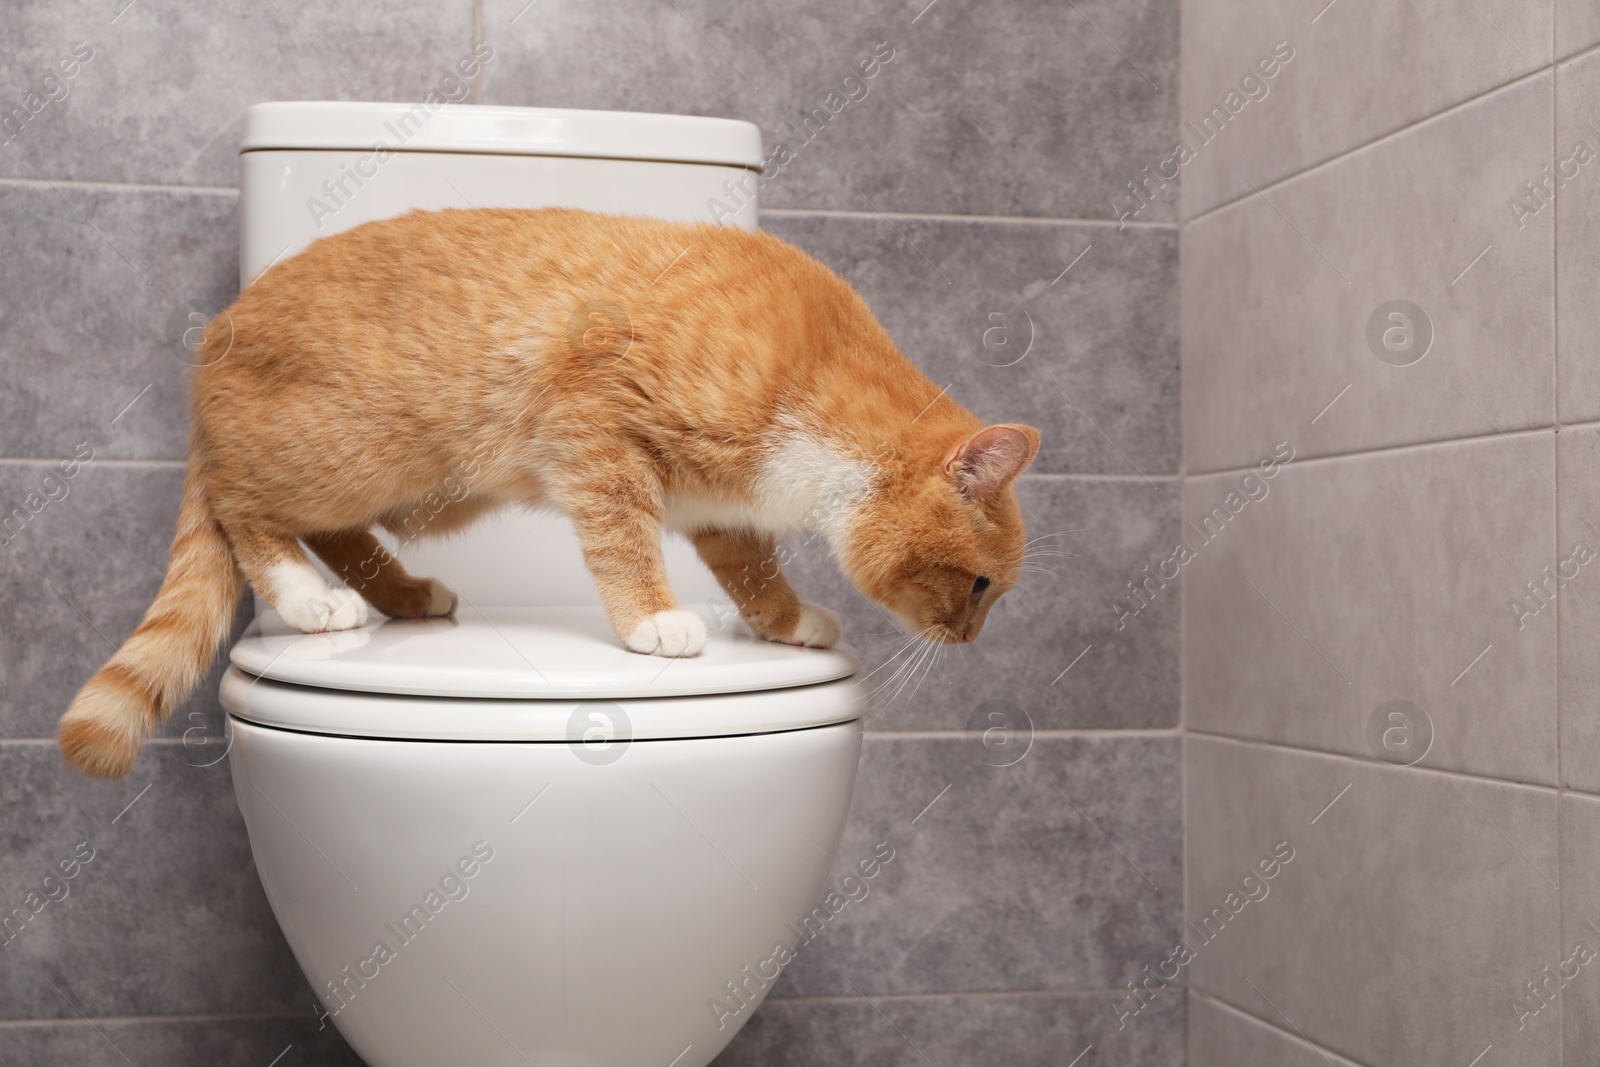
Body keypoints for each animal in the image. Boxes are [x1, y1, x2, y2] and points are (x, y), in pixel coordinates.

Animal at [56, 207, 1043, 777]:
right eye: (981, 585)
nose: (970, 638)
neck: (817, 372)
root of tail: (215, 339)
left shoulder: (719, 504)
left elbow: (754, 570)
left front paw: (787, 620)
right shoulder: (594, 424)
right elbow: (622, 536)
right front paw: (653, 620)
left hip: (419, 487)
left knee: (331, 531)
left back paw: (403, 593)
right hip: (348, 455)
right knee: (245, 506)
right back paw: (308, 601)